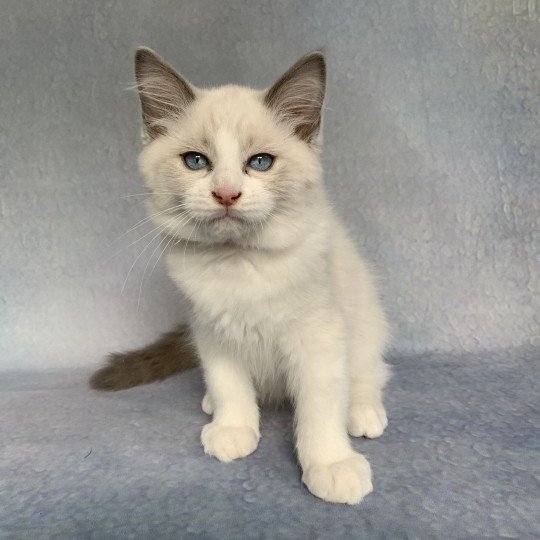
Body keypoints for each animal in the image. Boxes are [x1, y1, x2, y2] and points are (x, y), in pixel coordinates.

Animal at [90, 47, 390, 506]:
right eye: (196, 161)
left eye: (260, 163)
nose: (226, 193)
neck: (239, 262)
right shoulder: (212, 329)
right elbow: (229, 383)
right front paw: (233, 429)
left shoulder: (318, 335)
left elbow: (320, 404)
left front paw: (331, 465)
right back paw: (212, 405)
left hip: (363, 316)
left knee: (368, 372)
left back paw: (362, 412)